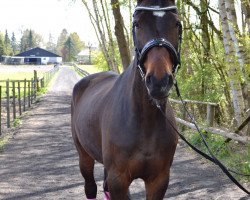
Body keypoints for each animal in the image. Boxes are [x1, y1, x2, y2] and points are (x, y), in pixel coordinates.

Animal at [71, 0, 183, 199]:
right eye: (137, 24)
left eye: (177, 24)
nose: (159, 82)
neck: (144, 121)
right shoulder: (119, 180)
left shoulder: (159, 180)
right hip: (84, 156)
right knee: (90, 187)